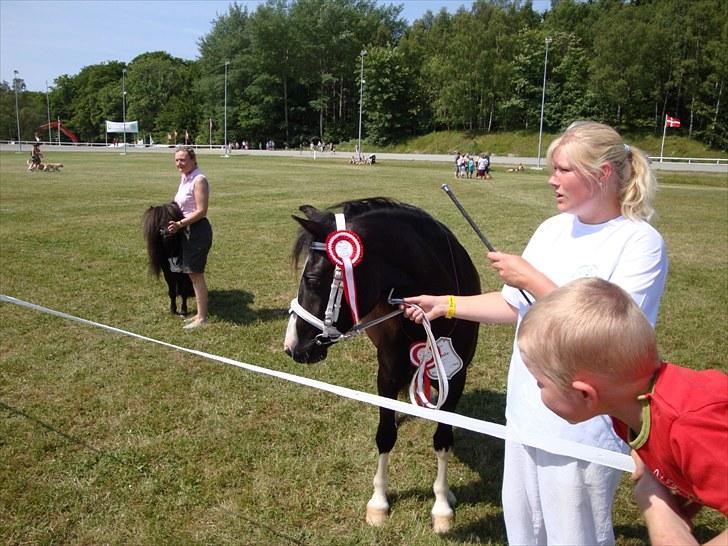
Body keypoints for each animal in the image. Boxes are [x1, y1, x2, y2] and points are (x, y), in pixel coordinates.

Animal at [284, 197, 481, 533]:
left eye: (312, 279)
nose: (292, 345)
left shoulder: (456, 377)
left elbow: (443, 439)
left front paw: (442, 505)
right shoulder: (386, 375)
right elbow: (385, 434)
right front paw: (379, 503)